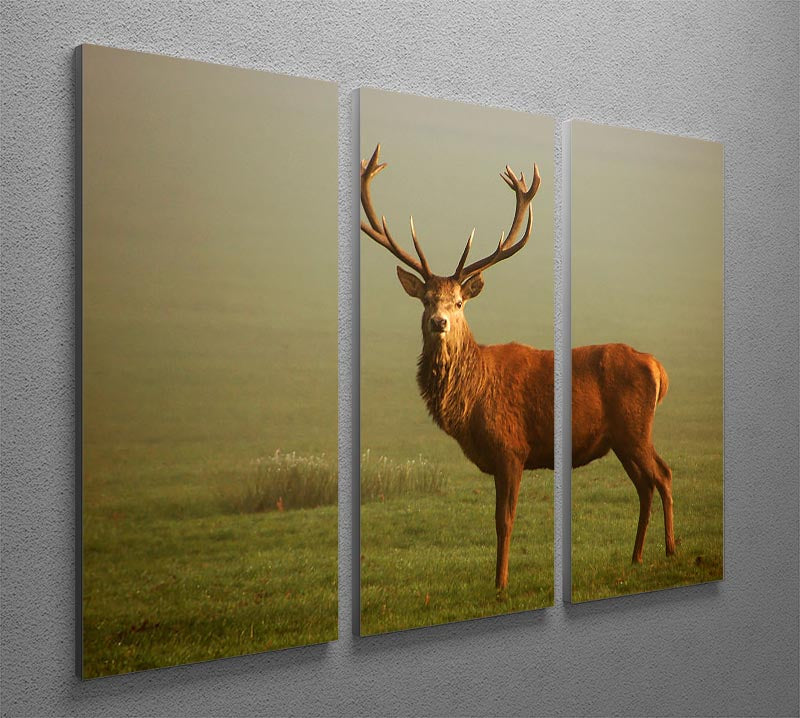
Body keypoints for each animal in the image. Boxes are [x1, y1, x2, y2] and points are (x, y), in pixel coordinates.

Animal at [360, 144, 675, 593]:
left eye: (459, 302)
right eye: (426, 299)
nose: (439, 322)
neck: (470, 403)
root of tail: (657, 367)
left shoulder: (511, 447)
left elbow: (503, 521)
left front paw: (500, 583)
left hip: (634, 427)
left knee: (662, 475)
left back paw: (670, 550)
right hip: (620, 437)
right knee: (645, 485)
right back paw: (635, 557)